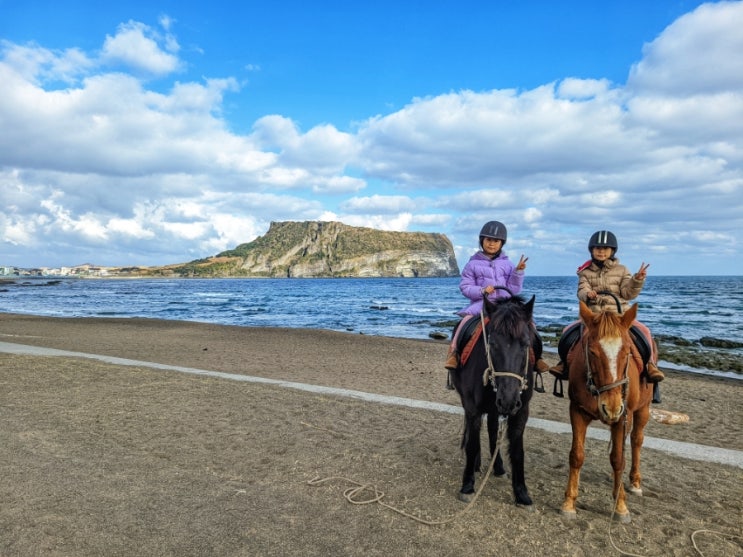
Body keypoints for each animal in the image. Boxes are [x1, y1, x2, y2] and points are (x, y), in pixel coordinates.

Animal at [450, 294, 536, 506]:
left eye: (525, 344)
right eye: (493, 344)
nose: (508, 400)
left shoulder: (522, 411)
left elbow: (517, 450)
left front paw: (521, 493)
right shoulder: (472, 407)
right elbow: (472, 444)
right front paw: (467, 485)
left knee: (491, 428)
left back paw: (498, 467)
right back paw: (477, 464)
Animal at [564, 300, 652, 520]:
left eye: (627, 351)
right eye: (592, 352)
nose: (611, 407)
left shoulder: (623, 417)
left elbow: (618, 459)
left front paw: (620, 505)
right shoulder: (577, 411)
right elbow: (577, 455)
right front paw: (569, 502)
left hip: (643, 410)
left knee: (637, 440)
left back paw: (634, 482)